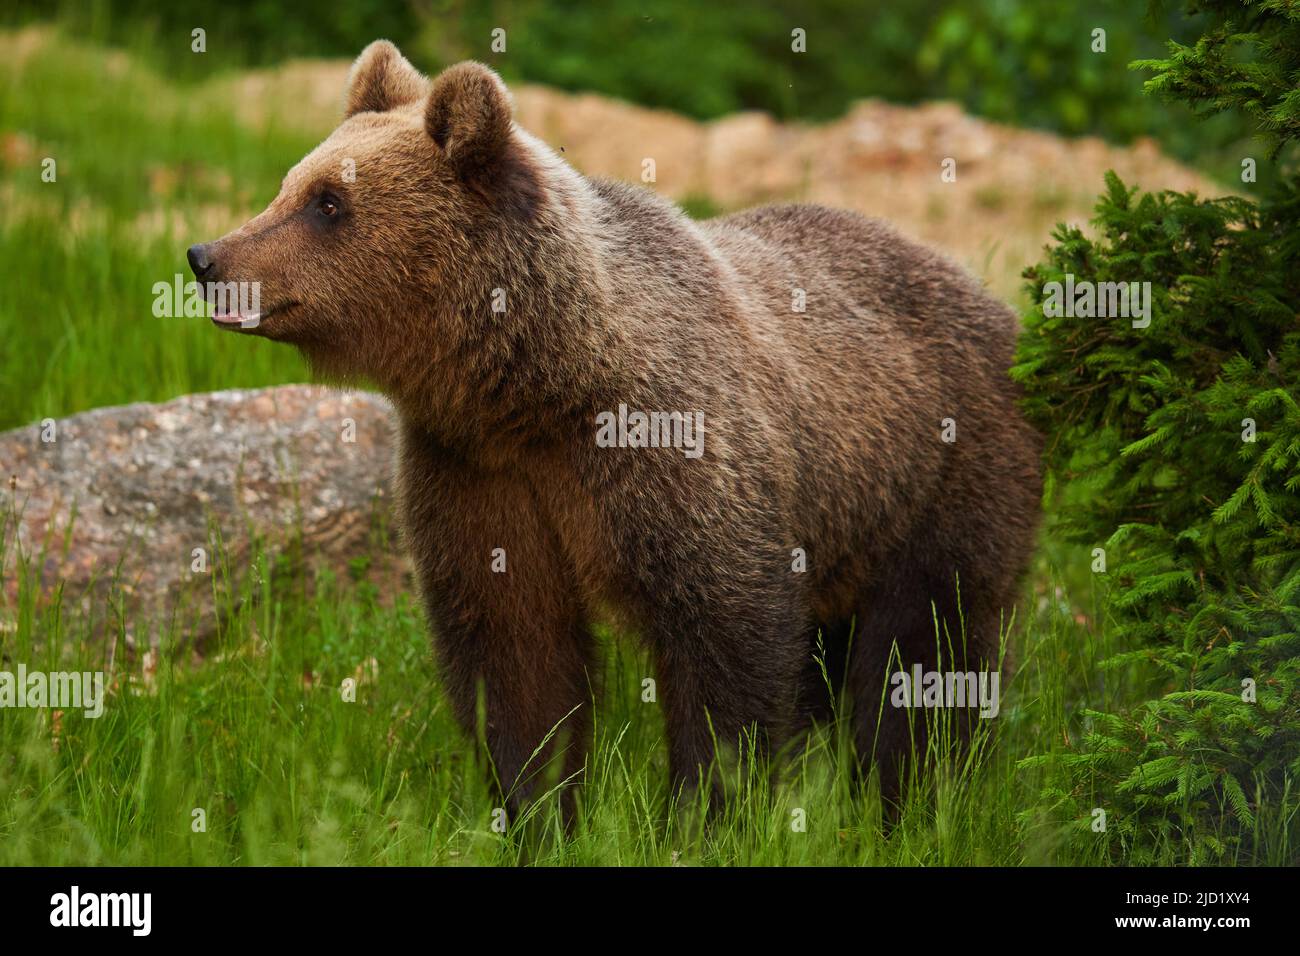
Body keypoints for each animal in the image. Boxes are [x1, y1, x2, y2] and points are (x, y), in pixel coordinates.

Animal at [185, 41, 1034, 816]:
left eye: (329, 203)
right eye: (291, 183)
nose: (207, 257)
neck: (537, 387)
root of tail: (992, 300)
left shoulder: (669, 449)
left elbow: (726, 646)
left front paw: (706, 812)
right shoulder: (474, 471)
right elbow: (514, 651)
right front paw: (536, 808)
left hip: (939, 473)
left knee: (923, 648)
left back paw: (908, 794)